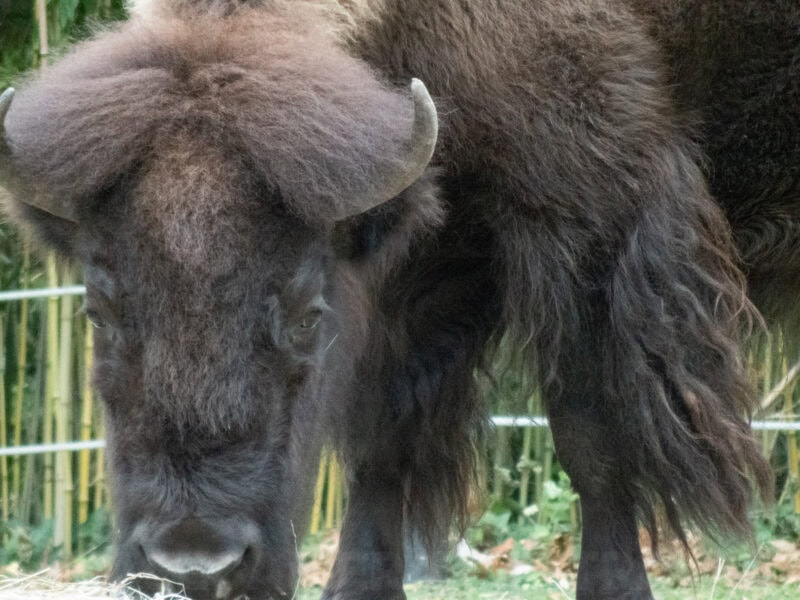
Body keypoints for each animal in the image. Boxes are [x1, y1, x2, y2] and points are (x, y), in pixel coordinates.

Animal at [0, 0, 793, 598]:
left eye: (307, 315)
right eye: (100, 313)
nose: (195, 565)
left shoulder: (586, 224)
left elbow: (589, 434)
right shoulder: (418, 259)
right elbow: (383, 435)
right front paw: (356, 588)